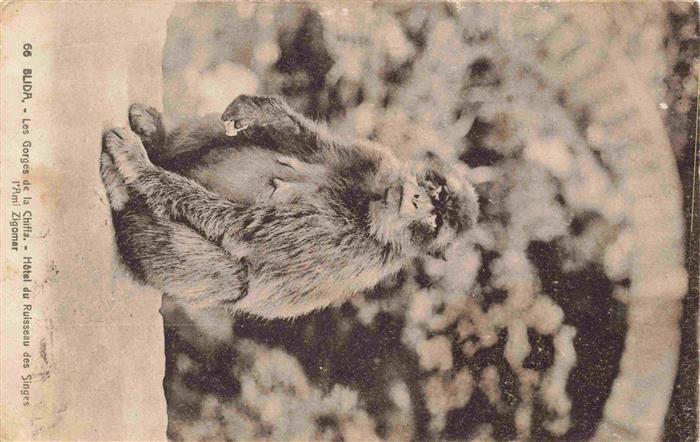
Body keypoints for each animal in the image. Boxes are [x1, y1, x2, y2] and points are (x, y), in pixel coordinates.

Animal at [101, 95, 479, 319]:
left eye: (434, 222)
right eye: (437, 194)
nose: (417, 202)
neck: (367, 205)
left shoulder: (346, 241)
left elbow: (240, 225)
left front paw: (139, 167)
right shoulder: (372, 161)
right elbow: (314, 146)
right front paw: (262, 109)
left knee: (233, 279)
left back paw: (128, 198)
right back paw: (158, 143)